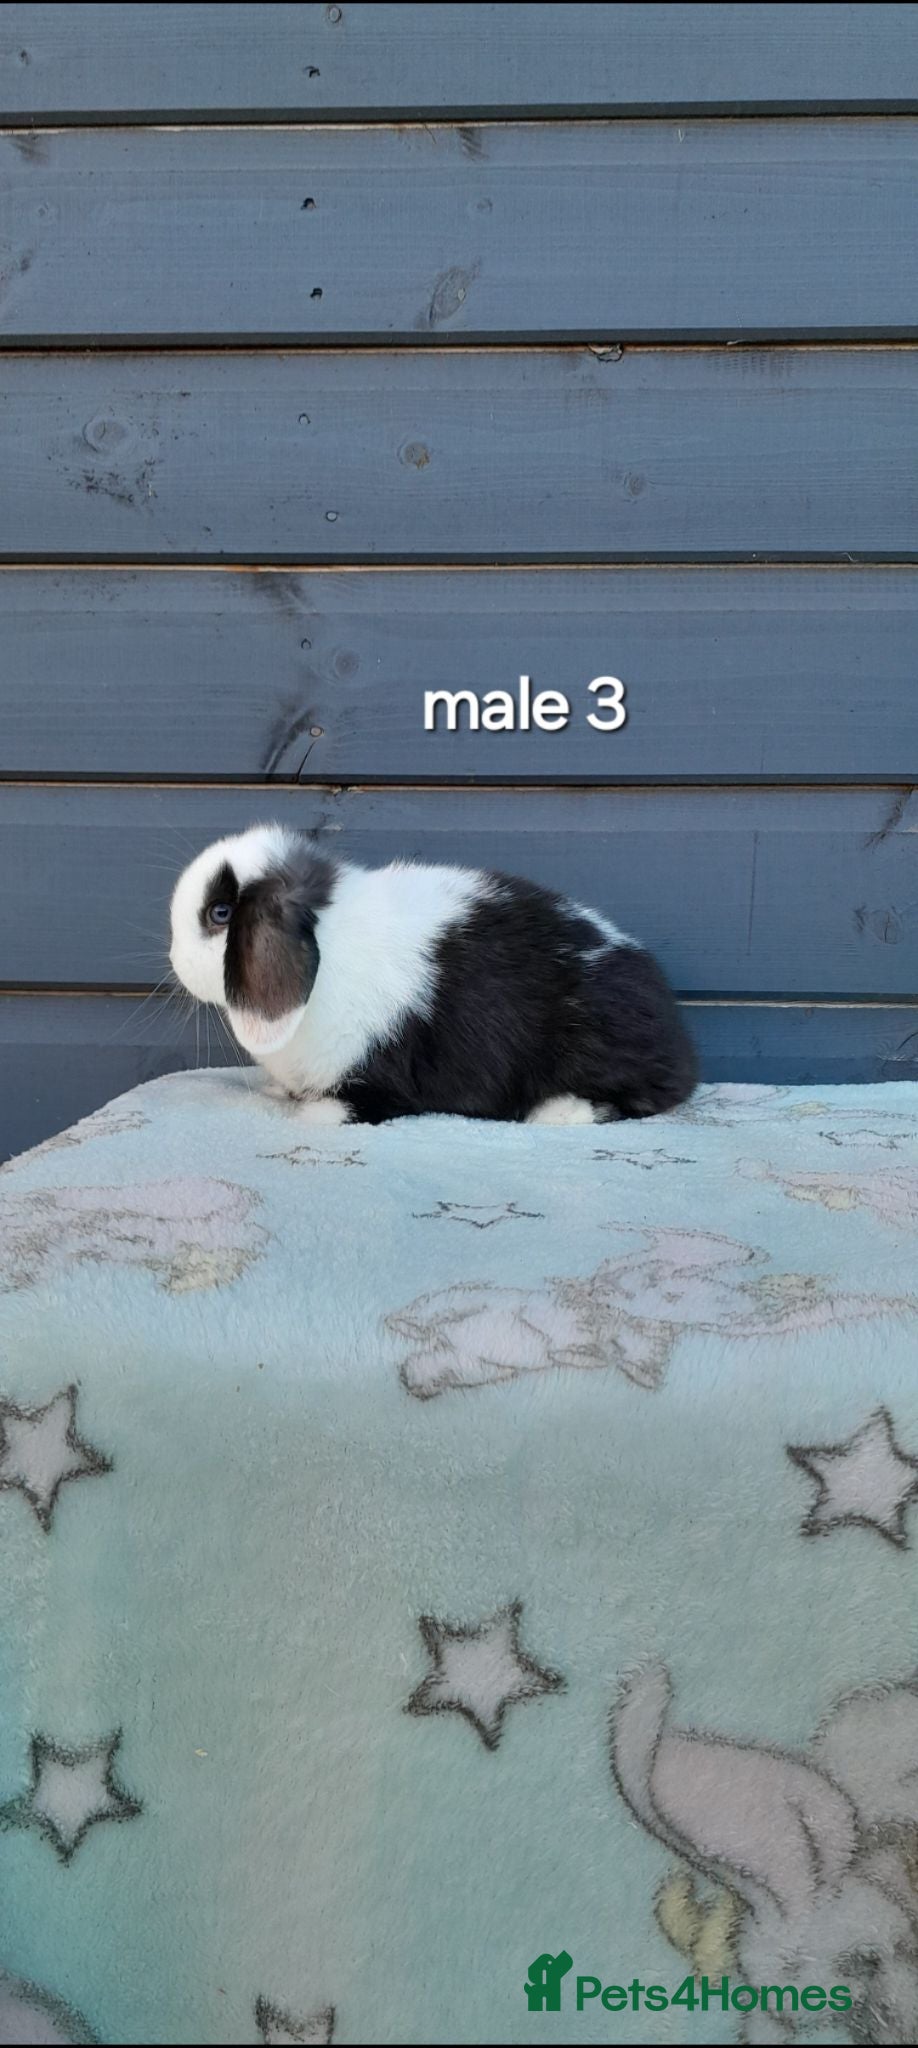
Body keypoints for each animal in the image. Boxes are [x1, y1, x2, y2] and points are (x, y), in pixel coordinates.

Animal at [169, 823, 696, 1126]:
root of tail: (681, 1047)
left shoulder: (378, 1075)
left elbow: (349, 1107)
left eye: (220, 914)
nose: (174, 960)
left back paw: (559, 1111)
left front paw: (313, 1114)